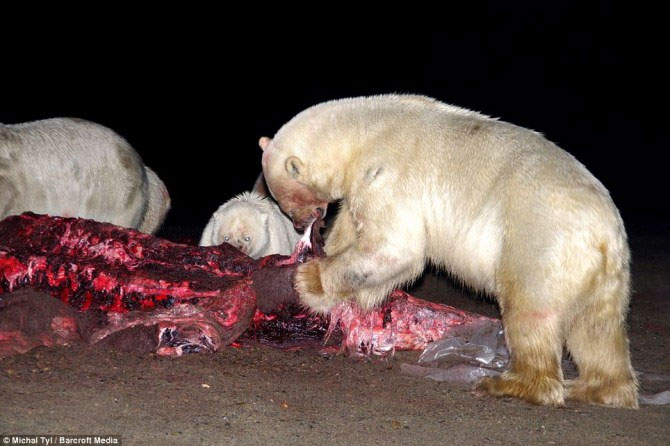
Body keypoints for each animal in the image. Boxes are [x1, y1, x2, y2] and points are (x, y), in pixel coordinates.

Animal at [259, 94, 638, 408]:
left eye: (285, 199)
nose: (298, 223)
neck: (360, 133)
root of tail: (605, 232)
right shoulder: (362, 183)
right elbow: (354, 227)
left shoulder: (386, 173)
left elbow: (394, 246)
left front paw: (309, 281)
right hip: (601, 273)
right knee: (596, 329)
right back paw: (597, 388)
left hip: (539, 239)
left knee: (530, 309)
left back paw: (511, 384)